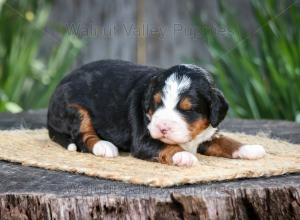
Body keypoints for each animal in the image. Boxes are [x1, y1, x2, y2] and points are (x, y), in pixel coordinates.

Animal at [48, 59, 266, 166]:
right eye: (157, 103)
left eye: (188, 109)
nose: (162, 127)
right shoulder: (143, 140)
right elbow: (166, 146)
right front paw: (183, 156)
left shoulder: (207, 134)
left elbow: (226, 141)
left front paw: (249, 148)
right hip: (75, 110)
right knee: (83, 135)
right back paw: (104, 146)